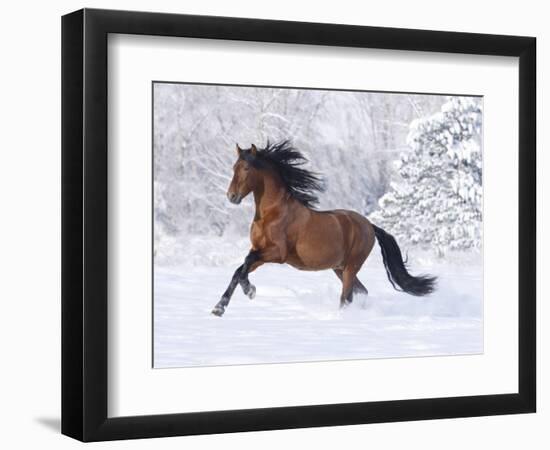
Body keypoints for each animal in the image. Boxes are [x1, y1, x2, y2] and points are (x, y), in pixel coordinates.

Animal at [212, 141, 440, 316]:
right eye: (233, 167)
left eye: (246, 168)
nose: (231, 196)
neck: (272, 213)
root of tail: (369, 225)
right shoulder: (259, 251)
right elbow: (240, 269)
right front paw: (220, 307)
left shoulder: (278, 253)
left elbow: (245, 263)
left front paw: (250, 291)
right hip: (339, 268)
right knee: (361, 292)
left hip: (350, 267)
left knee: (347, 296)